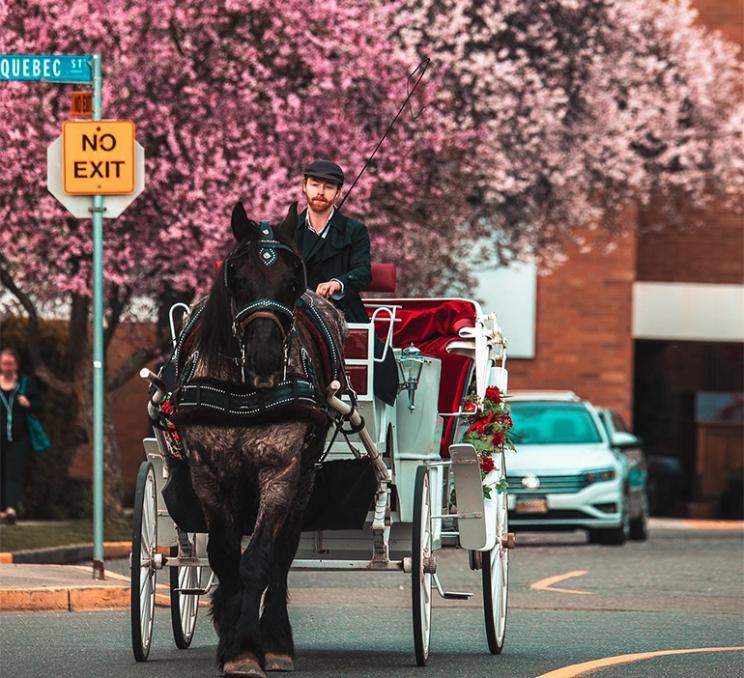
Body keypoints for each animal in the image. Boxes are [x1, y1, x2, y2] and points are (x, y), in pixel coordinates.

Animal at [176, 201, 348, 676]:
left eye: (293, 281)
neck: (242, 393)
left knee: (283, 554)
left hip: (304, 476)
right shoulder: (206, 469)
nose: (266, 358)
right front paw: (230, 634)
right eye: (236, 276)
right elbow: (223, 554)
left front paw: (246, 648)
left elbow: (258, 560)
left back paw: (274, 638)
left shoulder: (282, 468)